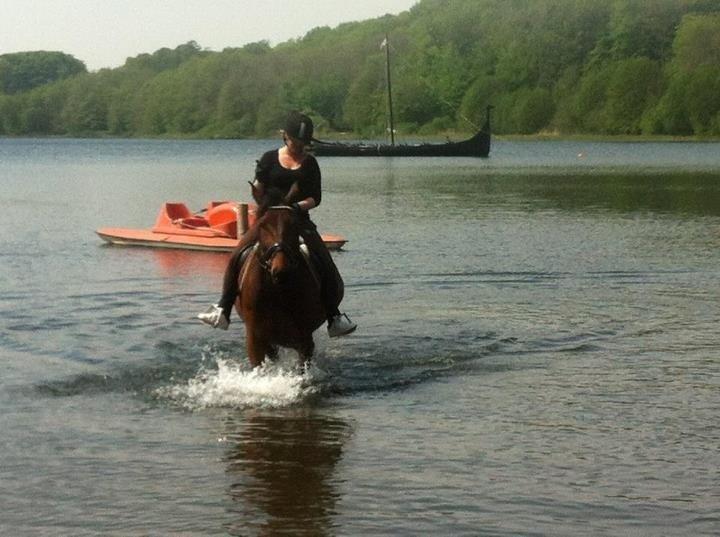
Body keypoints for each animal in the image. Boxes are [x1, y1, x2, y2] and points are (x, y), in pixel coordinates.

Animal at [235, 186, 324, 366]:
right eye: (262, 225)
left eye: (294, 225)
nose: (281, 270)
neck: (277, 289)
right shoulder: (256, 338)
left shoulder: (305, 339)